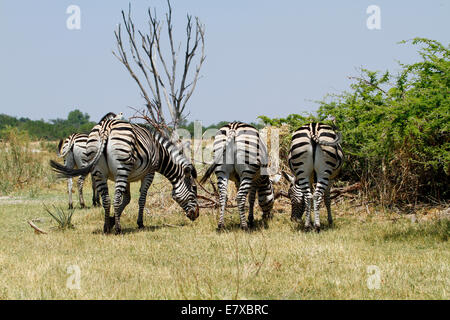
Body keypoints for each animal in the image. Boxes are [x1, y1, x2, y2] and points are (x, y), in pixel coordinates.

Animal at [49, 114, 199, 234]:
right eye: (194, 189)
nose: (196, 214)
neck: (160, 153)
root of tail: (106, 127)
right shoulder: (148, 173)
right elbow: (141, 199)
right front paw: (139, 223)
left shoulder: (126, 176)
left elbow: (126, 199)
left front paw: (111, 220)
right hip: (119, 168)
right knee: (113, 198)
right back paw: (117, 229)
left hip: (98, 170)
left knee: (106, 199)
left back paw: (105, 227)